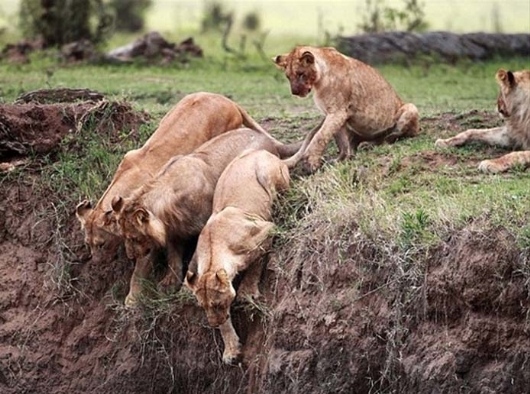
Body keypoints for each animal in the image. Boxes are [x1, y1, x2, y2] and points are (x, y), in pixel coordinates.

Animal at [111, 127, 296, 306]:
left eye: (134, 238)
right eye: (123, 236)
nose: (131, 257)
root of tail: (269, 140)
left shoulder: (203, 226)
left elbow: (194, 260)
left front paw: (185, 289)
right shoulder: (173, 231)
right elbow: (173, 257)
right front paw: (169, 283)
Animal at [184, 149, 286, 364]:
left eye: (217, 304)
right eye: (203, 307)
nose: (213, 324)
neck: (214, 252)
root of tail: (263, 151)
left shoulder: (267, 229)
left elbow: (256, 263)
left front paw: (247, 293)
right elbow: (226, 323)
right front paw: (231, 350)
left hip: (267, 175)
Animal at [272, 44, 416, 172]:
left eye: (301, 74)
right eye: (288, 76)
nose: (295, 92)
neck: (319, 81)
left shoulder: (337, 112)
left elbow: (320, 136)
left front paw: (311, 163)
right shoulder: (334, 114)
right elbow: (333, 140)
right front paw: (340, 160)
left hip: (411, 108)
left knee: (395, 135)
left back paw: (374, 143)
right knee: (353, 144)